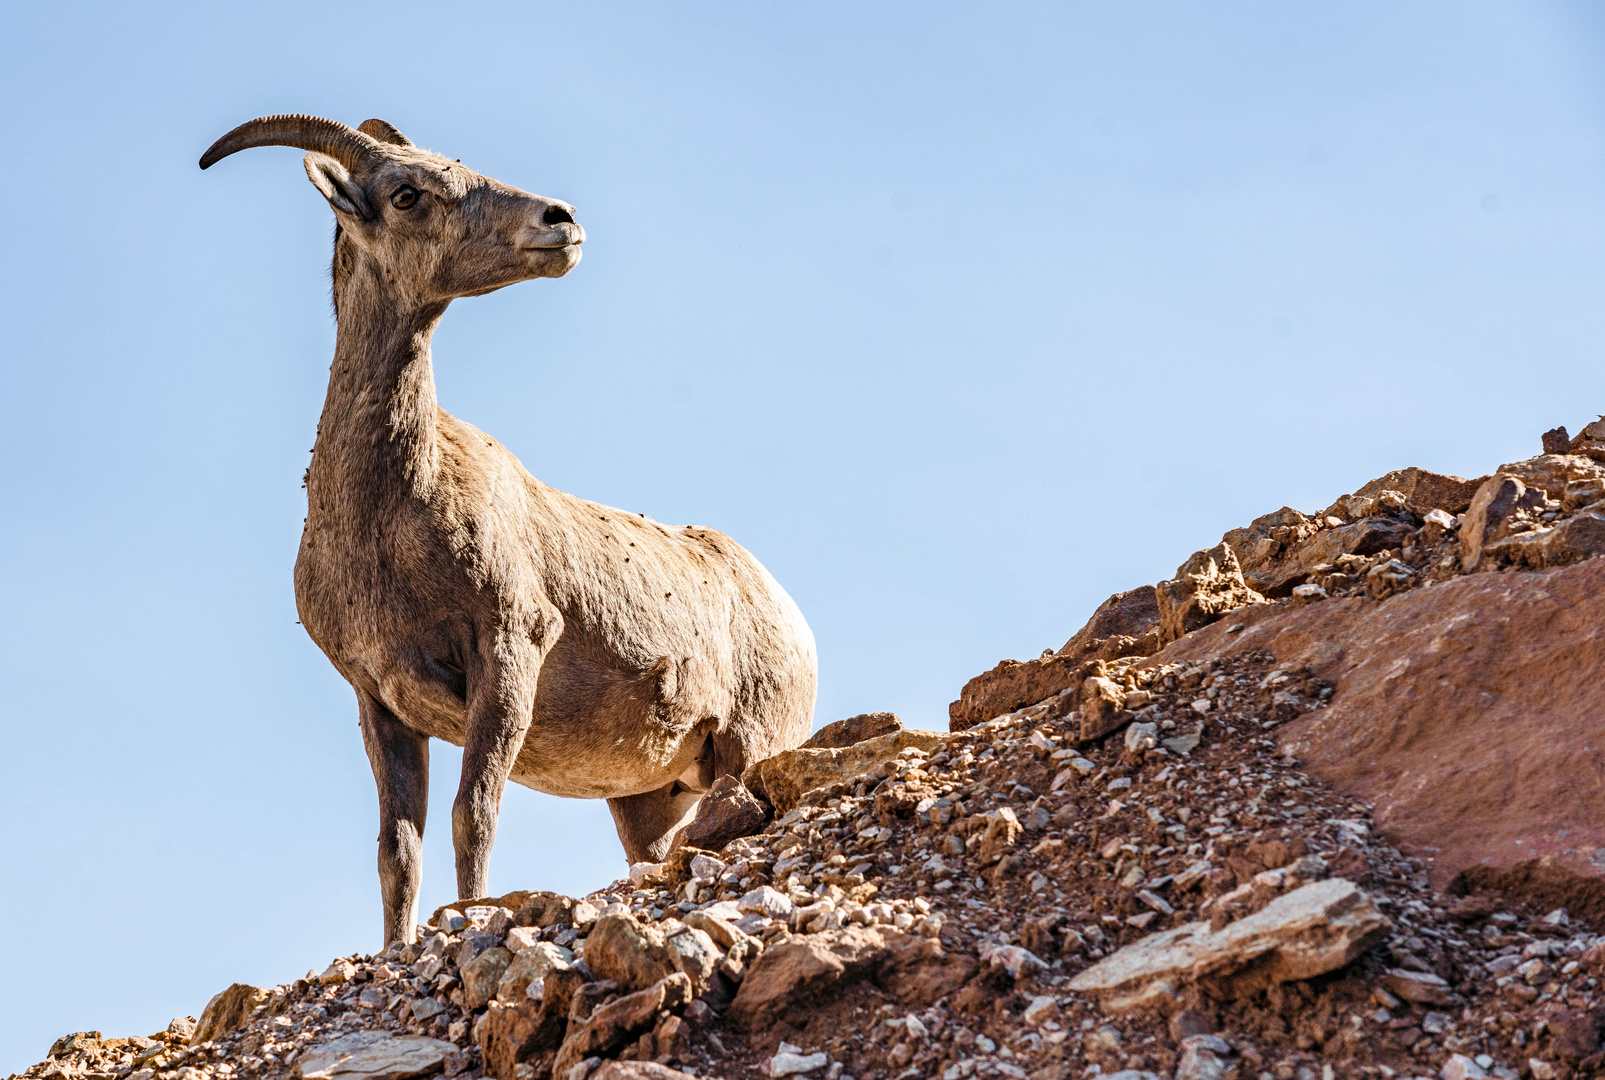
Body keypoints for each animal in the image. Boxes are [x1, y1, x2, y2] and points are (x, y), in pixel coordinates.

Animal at [203, 113, 815, 937]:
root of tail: (786, 610)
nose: (560, 220)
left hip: (749, 748)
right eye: (406, 193)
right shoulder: (380, 703)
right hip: (649, 802)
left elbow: (475, 814)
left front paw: (467, 917)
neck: (387, 522)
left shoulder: (509, 651)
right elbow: (398, 849)